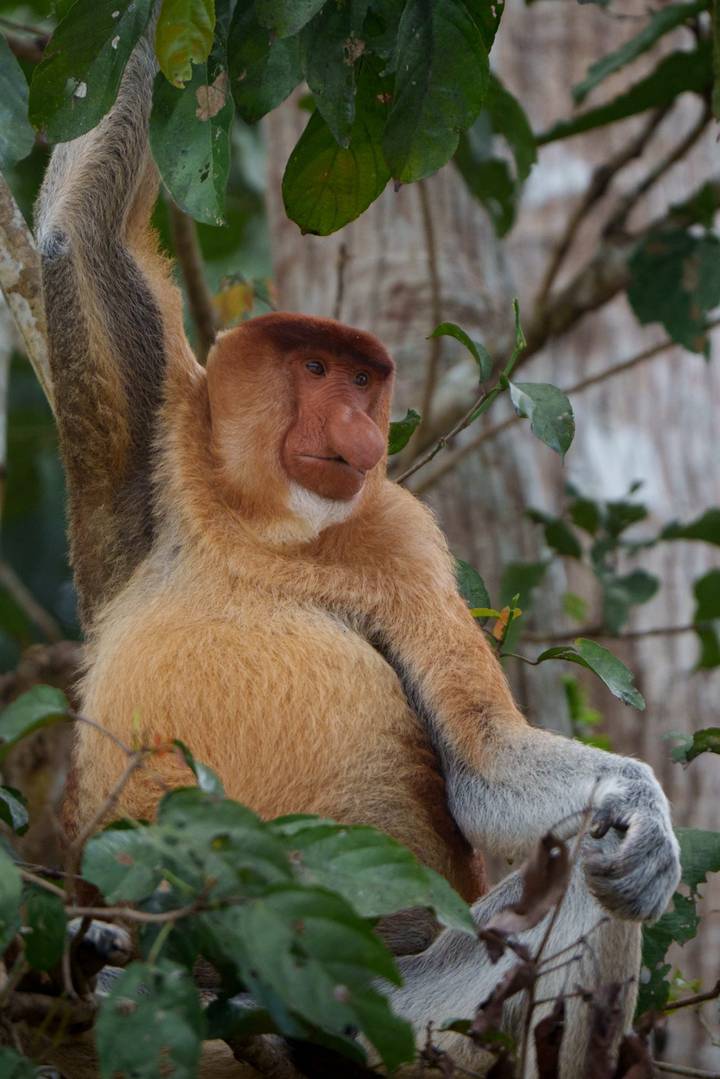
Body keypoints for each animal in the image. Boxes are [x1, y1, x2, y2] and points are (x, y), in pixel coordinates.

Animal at [34, 40, 680, 1076]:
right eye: (315, 367)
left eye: (368, 379)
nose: (359, 429)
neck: (268, 525)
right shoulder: (165, 448)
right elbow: (74, 237)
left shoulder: (405, 539)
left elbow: (482, 759)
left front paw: (646, 822)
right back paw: (101, 954)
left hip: (397, 1000)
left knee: (585, 867)